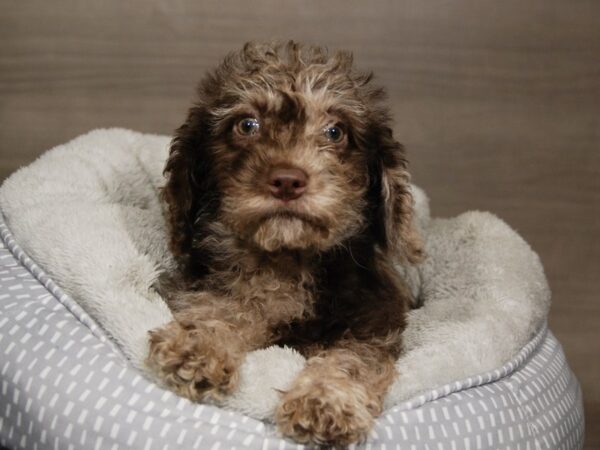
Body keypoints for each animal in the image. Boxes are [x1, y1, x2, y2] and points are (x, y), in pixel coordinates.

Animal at [148, 41, 424, 446]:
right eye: (247, 125)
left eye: (335, 131)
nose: (288, 181)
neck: (286, 260)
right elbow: (228, 307)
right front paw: (197, 344)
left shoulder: (374, 323)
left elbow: (353, 360)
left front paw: (324, 401)